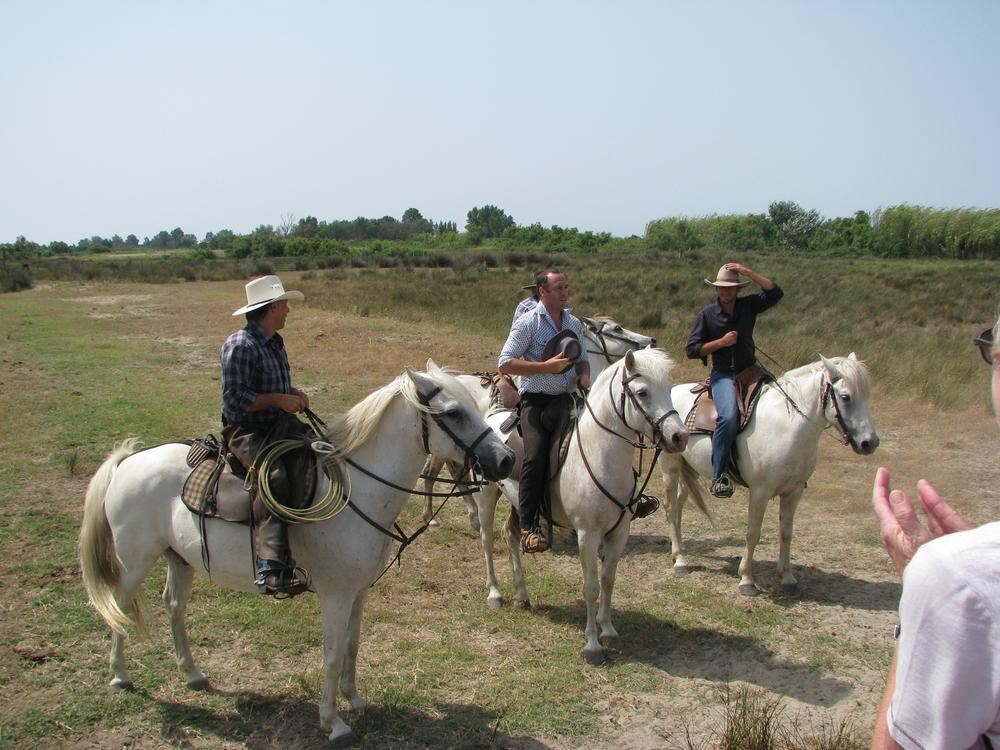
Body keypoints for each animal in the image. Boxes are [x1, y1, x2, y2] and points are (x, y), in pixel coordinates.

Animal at [77, 362, 512, 748]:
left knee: (174, 606)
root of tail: (128, 461)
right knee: (119, 608)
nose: (505, 460)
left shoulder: (358, 591)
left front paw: (354, 699)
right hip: (135, 561)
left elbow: (352, 645)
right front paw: (333, 722)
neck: (358, 492)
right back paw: (120, 675)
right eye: (453, 413)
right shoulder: (335, 596)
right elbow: (332, 654)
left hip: (179, 559)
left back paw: (193, 674)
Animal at [468, 350, 688, 668]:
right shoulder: (588, 534)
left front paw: (608, 630)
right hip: (487, 496)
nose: (679, 437)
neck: (602, 455)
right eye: (642, 393)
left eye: (669, 389)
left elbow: (608, 581)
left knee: (510, 534)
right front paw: (592, 645)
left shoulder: (619, 532)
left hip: (518, 502)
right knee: (487, 540)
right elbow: (591, 587)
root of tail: (492, 416)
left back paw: (522, 593)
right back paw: (495, 594)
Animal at [660, 354, 880, 600]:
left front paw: (787, 577)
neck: (787, 426)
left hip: (689, 468)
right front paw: (746, 579)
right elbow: (753, 533)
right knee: (670, 507)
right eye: (845, 397)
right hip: (670, 466)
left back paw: (680, 551)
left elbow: (786, 533)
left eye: (867, 395)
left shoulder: (793, 492)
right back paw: (680, 560)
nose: (870, 443)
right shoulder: (760, 492)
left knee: (679, 505)